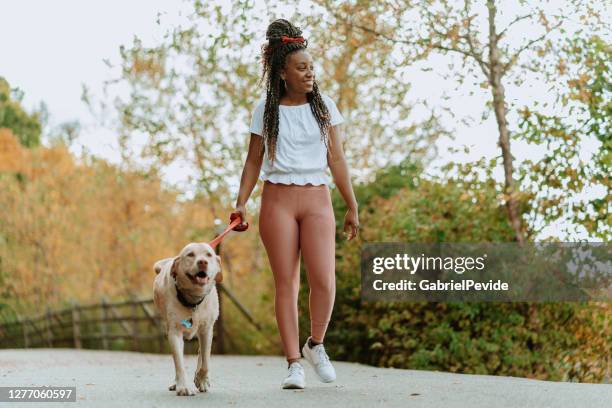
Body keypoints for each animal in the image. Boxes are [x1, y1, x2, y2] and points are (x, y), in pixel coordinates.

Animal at [154, 242, 224, 396]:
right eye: (191, 254)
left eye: (209, 255)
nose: (202, 262)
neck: (193, 301)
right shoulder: (175, 332)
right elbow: (179, 363)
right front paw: (182, 386)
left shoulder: (207, 330)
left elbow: (206, 361)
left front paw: (201, 379)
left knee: (201, 353)